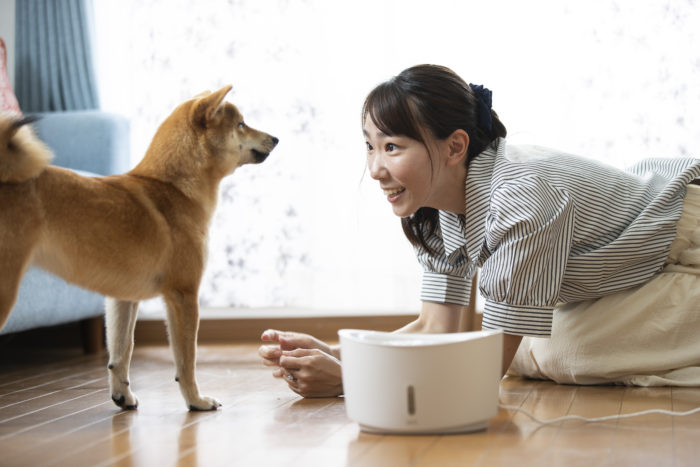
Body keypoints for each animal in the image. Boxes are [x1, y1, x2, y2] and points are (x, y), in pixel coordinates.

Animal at [0, 86, 278, 412]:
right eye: (241, 124)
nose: (276, 138)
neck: (173, 187)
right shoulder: (183, 295)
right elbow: (187, 360)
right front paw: (196, 400)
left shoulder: (122, 298)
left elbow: (121, 353)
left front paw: (123, 396)